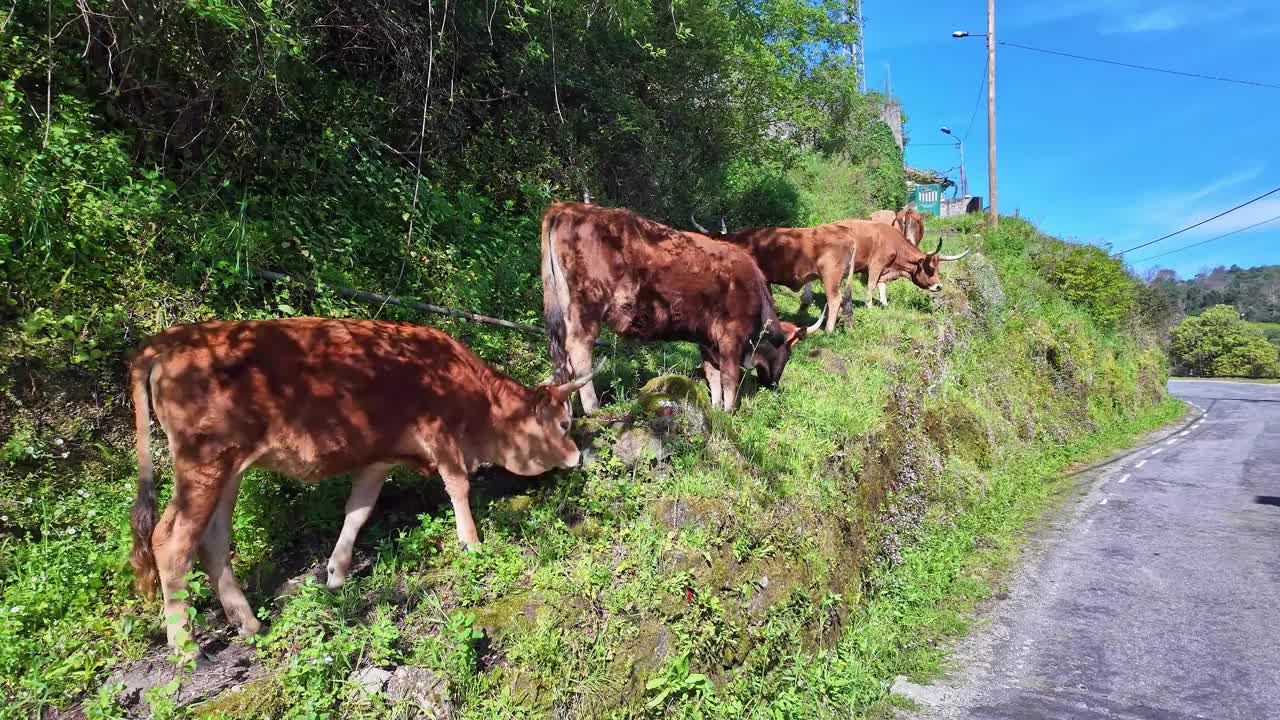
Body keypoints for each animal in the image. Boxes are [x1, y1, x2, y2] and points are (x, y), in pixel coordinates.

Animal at [127, 316, 596, 653]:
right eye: (563, 422)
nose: (577, 455)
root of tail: (170, 338)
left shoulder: (378, 457)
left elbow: (358, 510)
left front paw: (335, 574)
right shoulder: (440, 433)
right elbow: (458, 487)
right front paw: (473, 543)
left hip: (229, 470)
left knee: (213, 540)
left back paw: (248, 623)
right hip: (203, 463)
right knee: (170, 540)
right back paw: (185, 646)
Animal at [545, 202, 814, 415]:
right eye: (788, 354)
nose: (774, 385)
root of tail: (566, 207)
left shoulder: (708, 340)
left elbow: (712, 375)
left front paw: (716, 408)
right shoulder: (731, 337)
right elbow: (729, 377)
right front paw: (729, 411)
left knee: (562, 359)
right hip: (586, 306)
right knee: (579, 350)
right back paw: (592, 408)